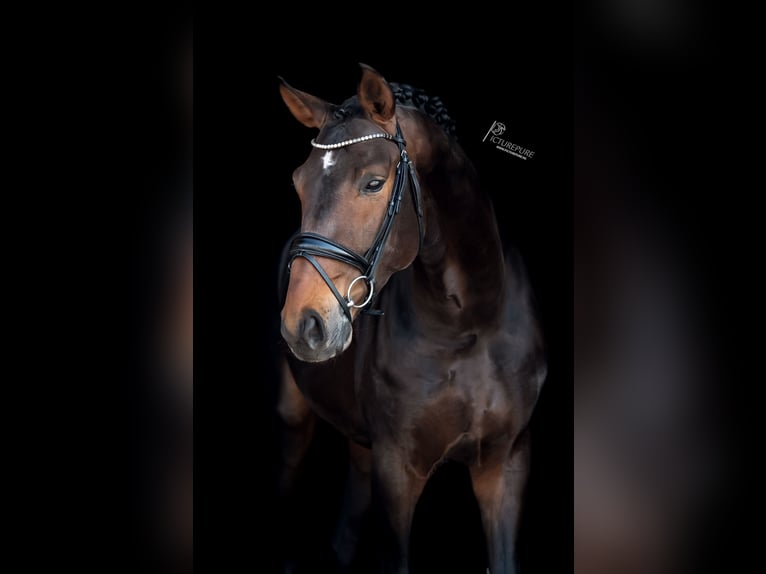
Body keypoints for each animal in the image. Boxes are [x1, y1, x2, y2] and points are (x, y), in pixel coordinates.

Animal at [276, 64, 546, 574]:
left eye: (373, 183)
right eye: (299, 182)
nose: (303, 325)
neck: (471, 324)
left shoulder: (506, 463)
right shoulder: (397, 469)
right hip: (292, 418)